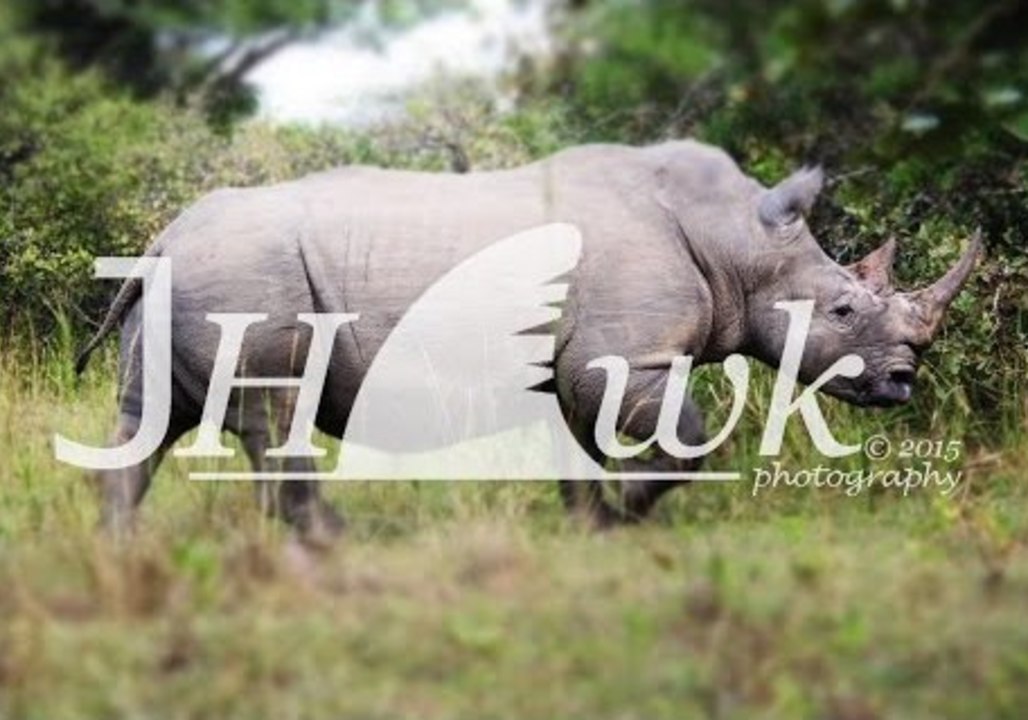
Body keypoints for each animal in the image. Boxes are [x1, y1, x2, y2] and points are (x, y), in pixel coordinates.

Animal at [76, 140, 980, 540]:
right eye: (843, 312)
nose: (902, 381)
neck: (740, 242)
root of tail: (165, 235)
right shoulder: (627, 358)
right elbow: (682, 442)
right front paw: (626, 515)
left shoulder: (573, 366)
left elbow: (573, 448)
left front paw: (591, 529)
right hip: (244, 277)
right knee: (272, 412)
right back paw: (329, 542)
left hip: (192, 276)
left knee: (148, 419)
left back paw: (122, 552)